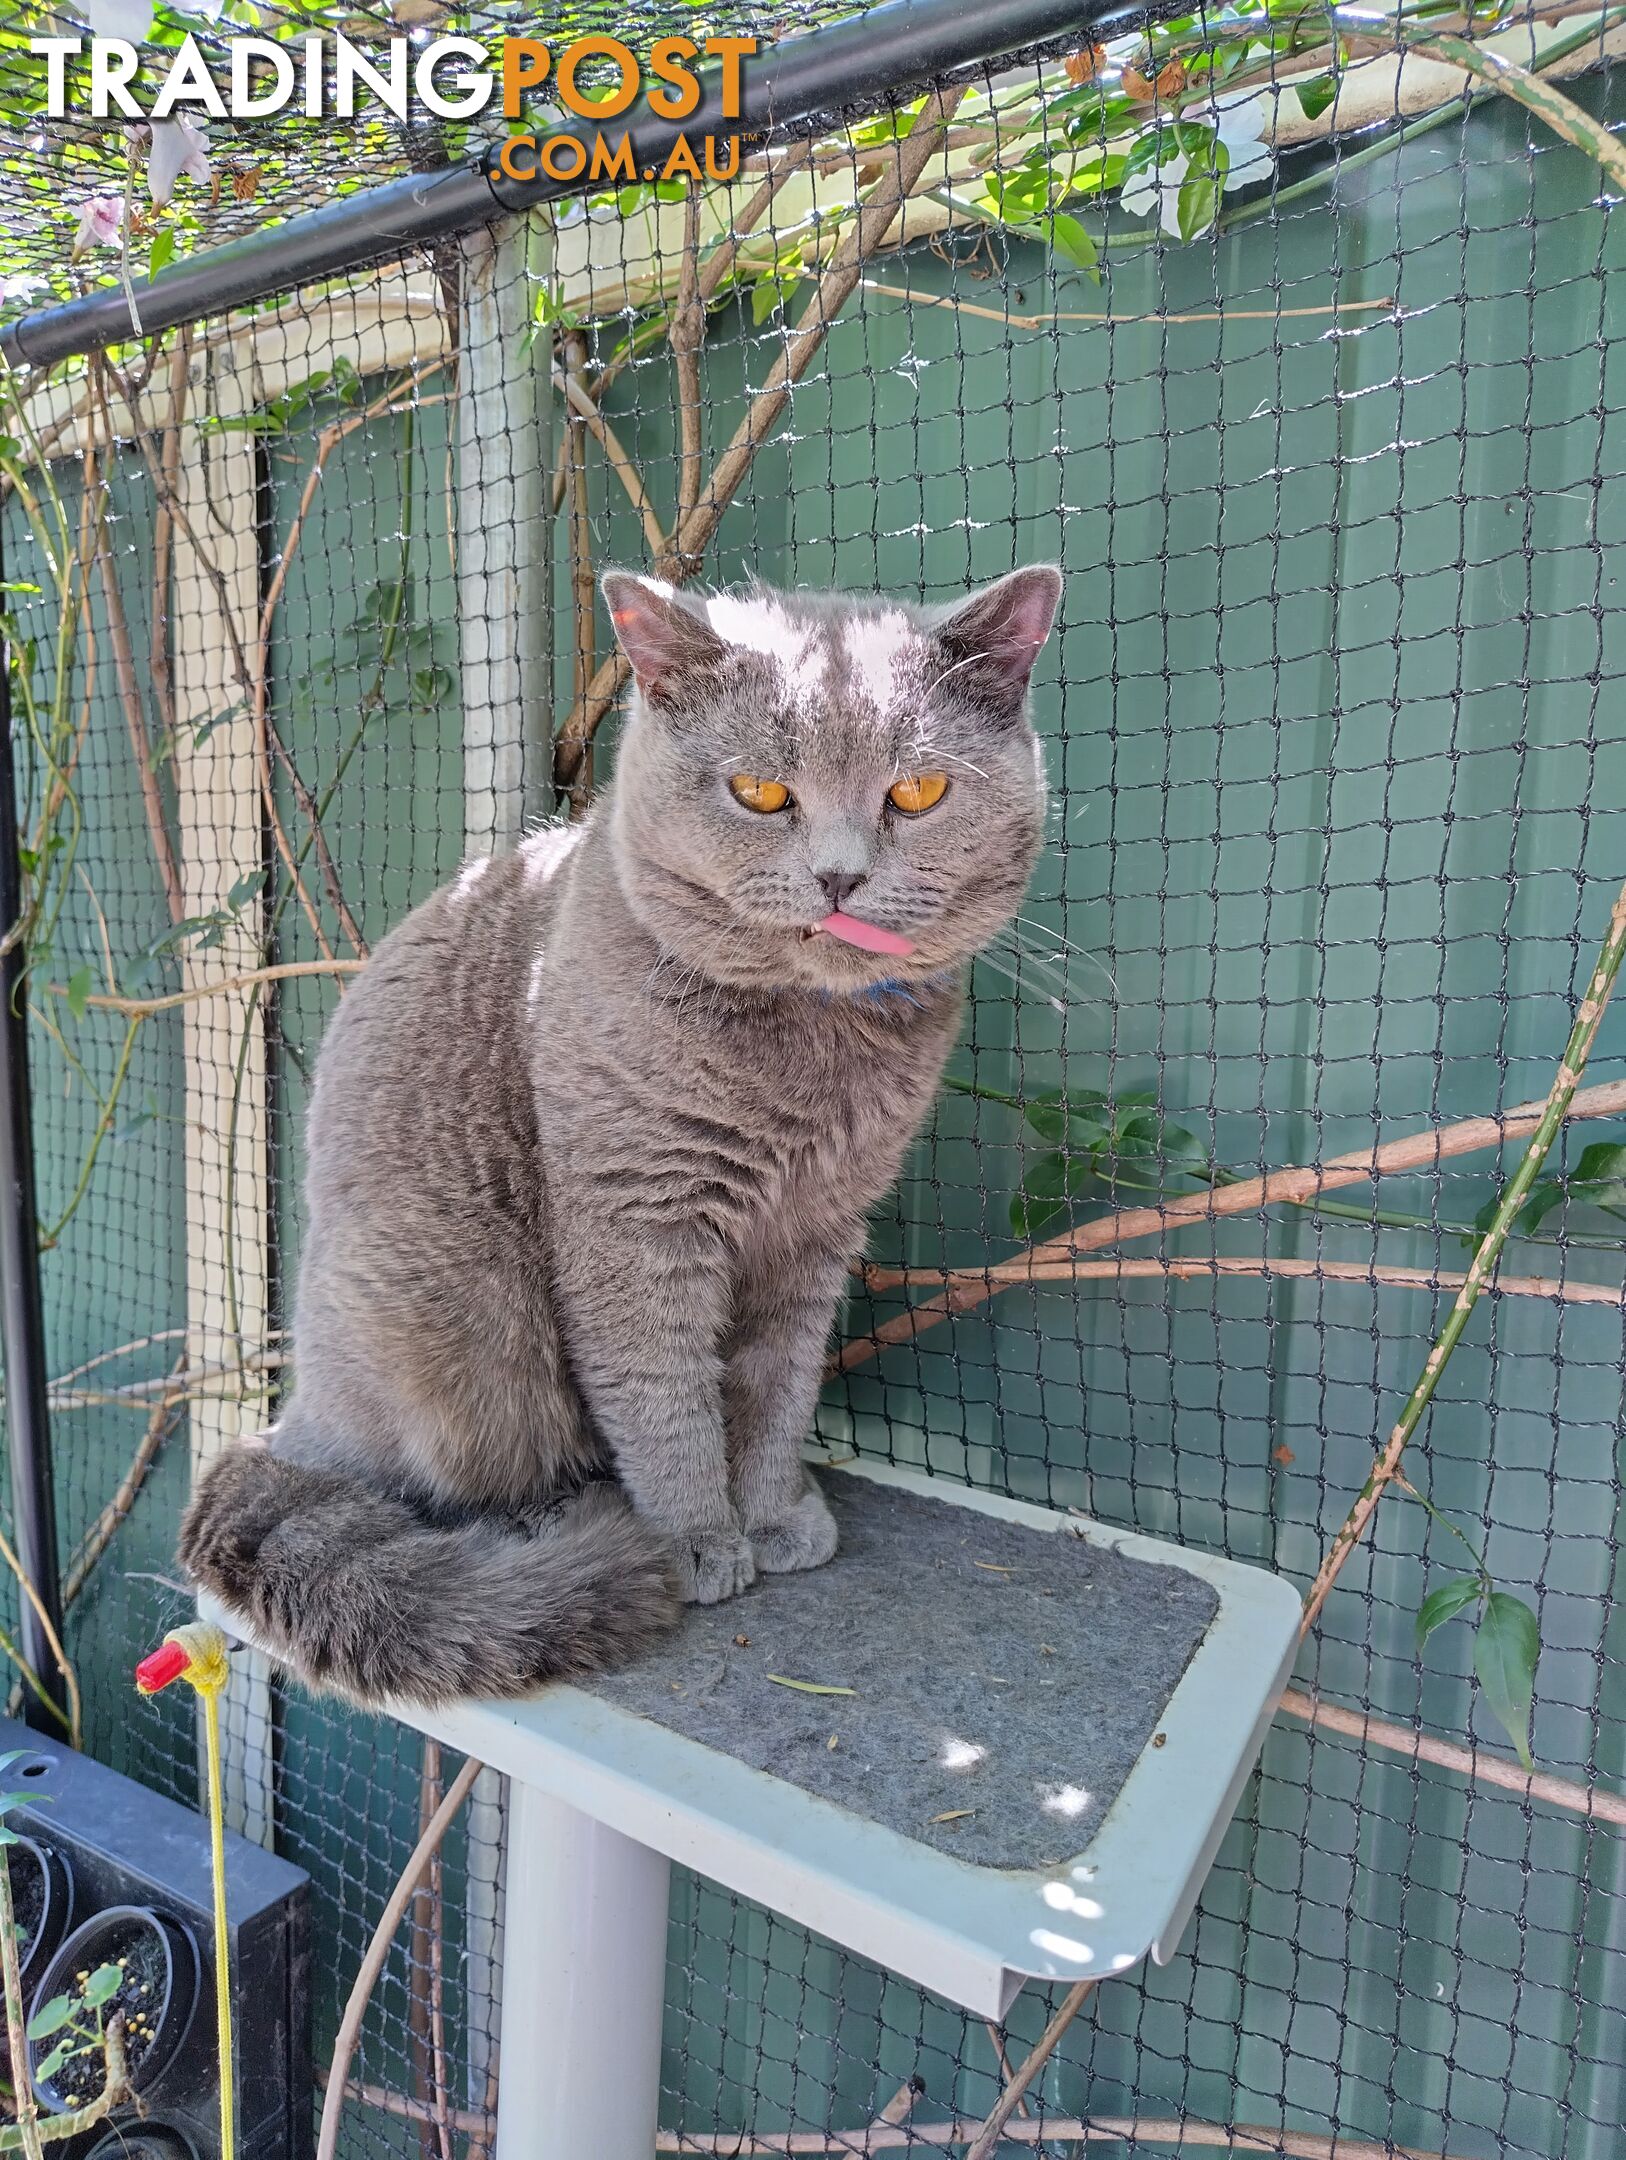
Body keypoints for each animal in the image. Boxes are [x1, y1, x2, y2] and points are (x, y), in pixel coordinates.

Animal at [180, 570, 1066, 1702]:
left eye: (915, 795)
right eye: (759, 792)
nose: (840, 878)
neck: (808, 1058)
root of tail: (296, 1418)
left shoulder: (820, 1231)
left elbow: (779, 1388)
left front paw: (774, 1513)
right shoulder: (635, 1213)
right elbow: (659, 1392)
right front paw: (694, 1539)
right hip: (456, 1312)